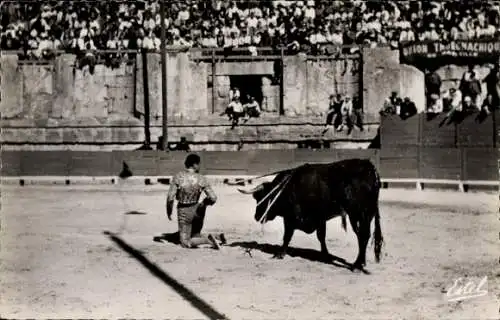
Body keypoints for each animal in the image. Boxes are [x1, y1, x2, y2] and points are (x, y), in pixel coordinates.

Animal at [238, 159, 382, 272]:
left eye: (260, 198)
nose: (256, 216)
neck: (285, 189)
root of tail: (370, 168)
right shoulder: (320, 218)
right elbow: (321, 237)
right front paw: (325, 255)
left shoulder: (290, 218)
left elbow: (287, 236)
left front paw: (279, 254)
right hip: (367, 214)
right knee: (364, 236)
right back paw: (361, 263)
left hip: (358, 214)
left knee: (363, 236)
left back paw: (357, 265)